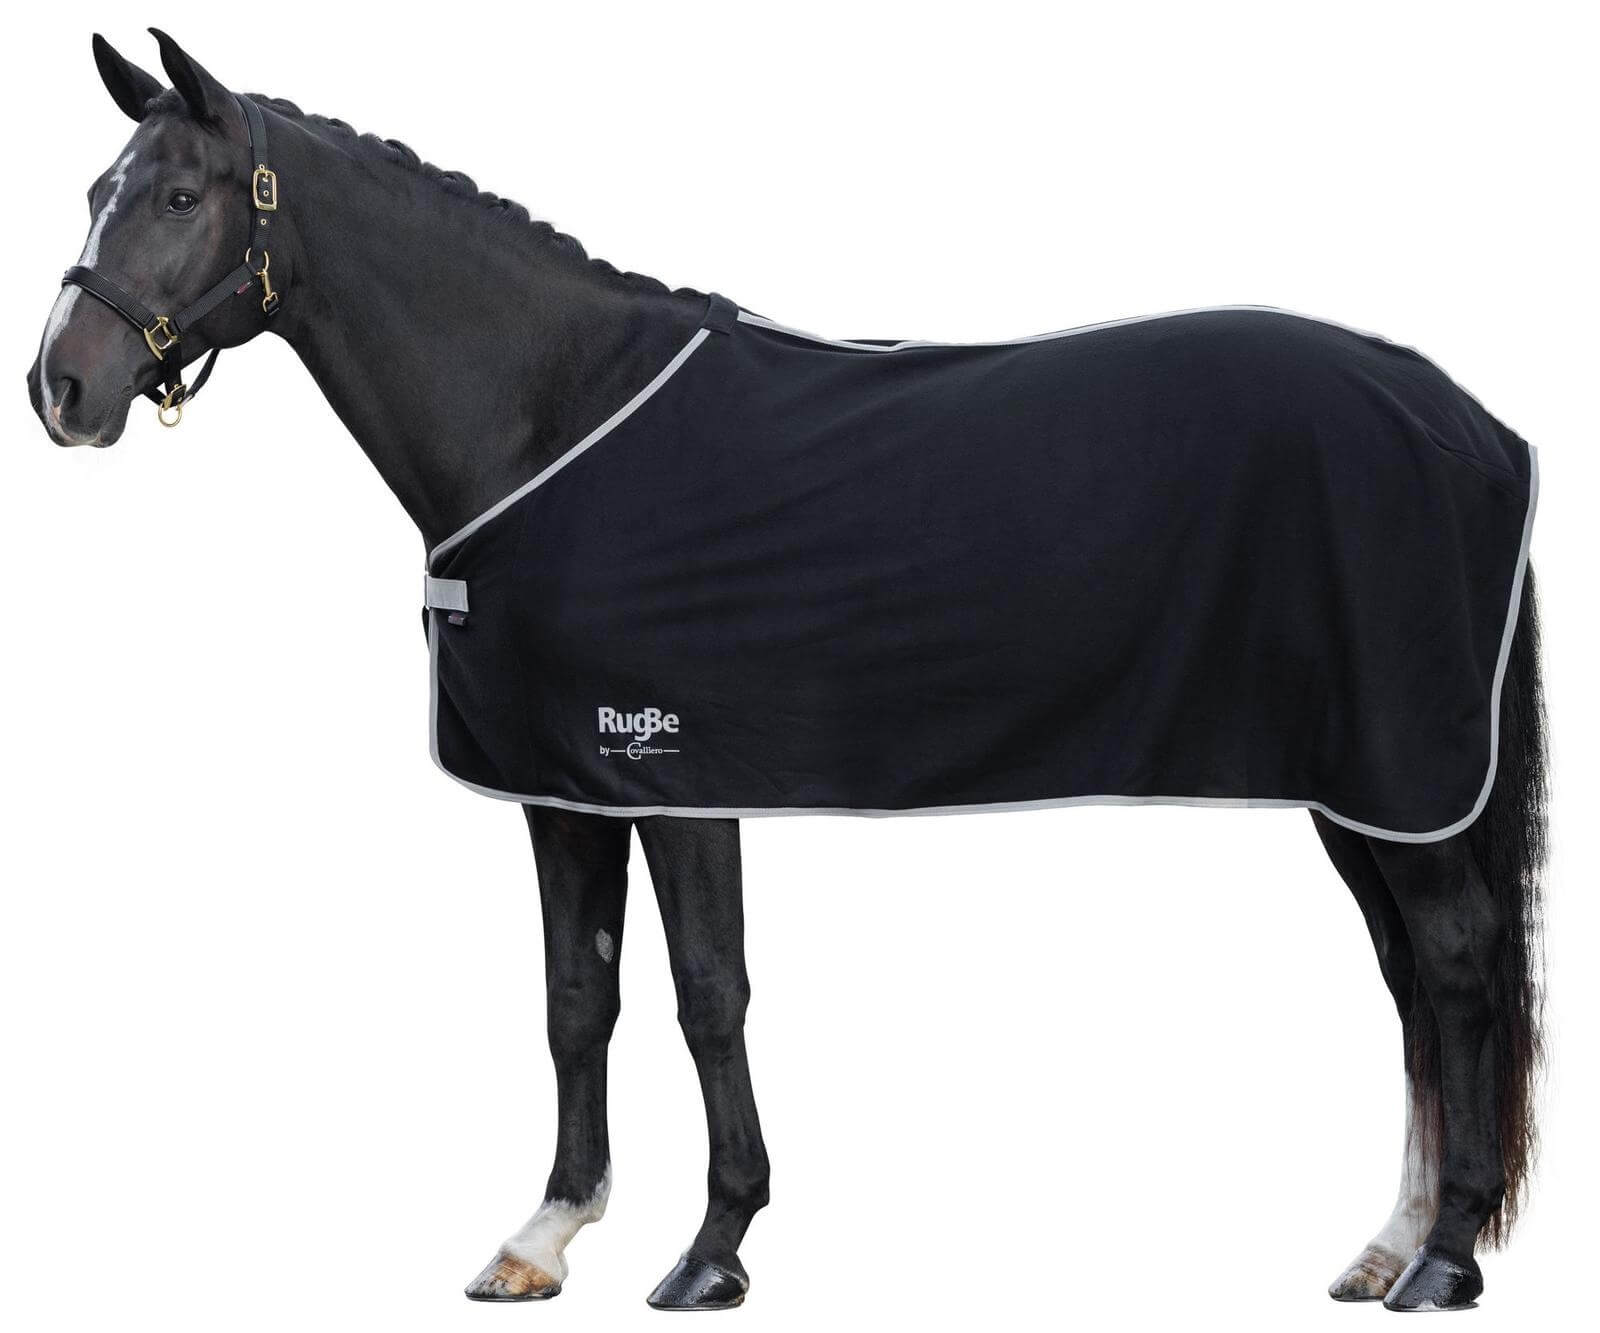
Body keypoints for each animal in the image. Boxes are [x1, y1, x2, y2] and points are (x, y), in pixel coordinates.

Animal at [28, 31, 1546, 1314]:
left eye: (179, 194)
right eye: (99, 188)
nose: (61, 390)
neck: (550, 418)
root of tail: (1468, 421)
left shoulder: (673, 770)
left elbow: (709, 992)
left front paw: (712, 1248)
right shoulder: (564, 785)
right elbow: (576, 998)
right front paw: (545, 1235)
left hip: (1401, 777)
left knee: (1456, 966)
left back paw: (1447, 1259)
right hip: (1359, 789)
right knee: (1410, 982)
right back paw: (1390, 1242)